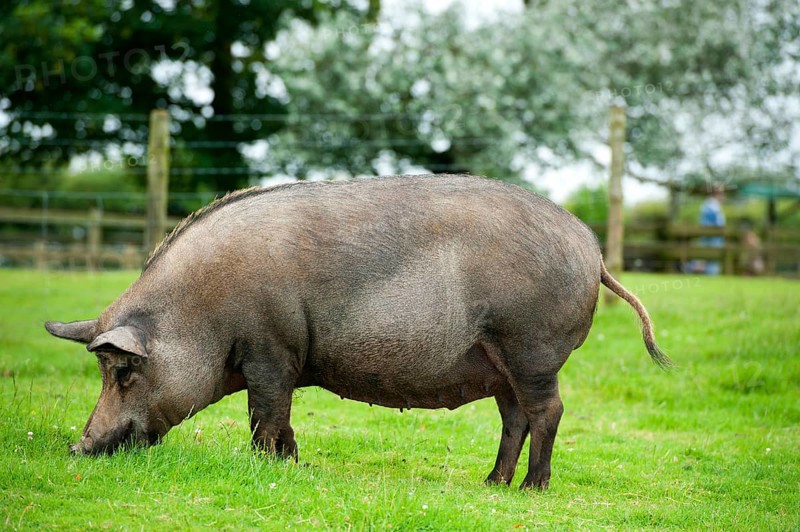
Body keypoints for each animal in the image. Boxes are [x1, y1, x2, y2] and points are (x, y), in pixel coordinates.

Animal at [45, 174, 670, 490]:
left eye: (124, 370)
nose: (79, 447)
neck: (202, 314)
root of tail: (592, 249)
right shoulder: (280, 359)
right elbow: (282, 417)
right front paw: (293, 464)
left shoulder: (271, 350)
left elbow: (265, 413)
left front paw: (267, 467)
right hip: (501, 363)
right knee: (514, 417)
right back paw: (492, 482)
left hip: (531, 347)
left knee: (549, 411)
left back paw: (532, 488)